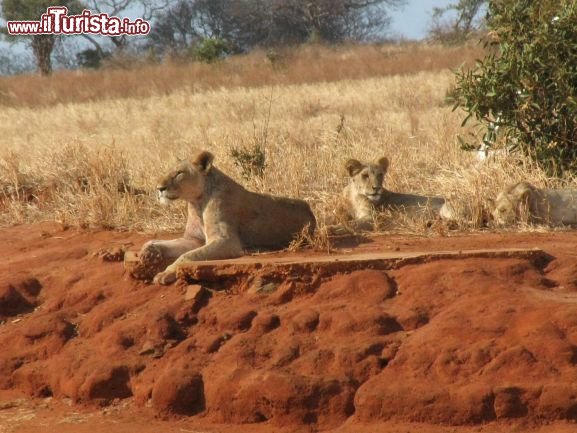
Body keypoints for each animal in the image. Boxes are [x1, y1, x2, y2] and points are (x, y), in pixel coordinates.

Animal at [133, 150, 318, 286]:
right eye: (167, 172)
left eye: (179, 173)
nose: (159, 188)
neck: (196, 203)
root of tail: (309, 209)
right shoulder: (193, 239)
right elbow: (162, 243)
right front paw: (148, 251)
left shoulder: (227, 241)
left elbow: (187, 256)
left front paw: (165, 273)